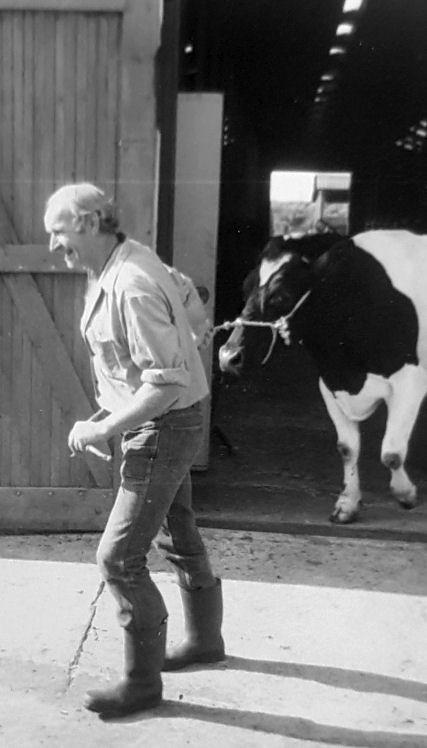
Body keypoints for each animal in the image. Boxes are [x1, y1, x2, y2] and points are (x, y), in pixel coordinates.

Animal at [219, 231, 427, 524]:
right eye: (244, 287)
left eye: (281, 296)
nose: (228, 357)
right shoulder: (329, 384)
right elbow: (347, 448)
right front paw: (347, 505)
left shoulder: (410, 381)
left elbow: (392, 453)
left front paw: (405, 494)